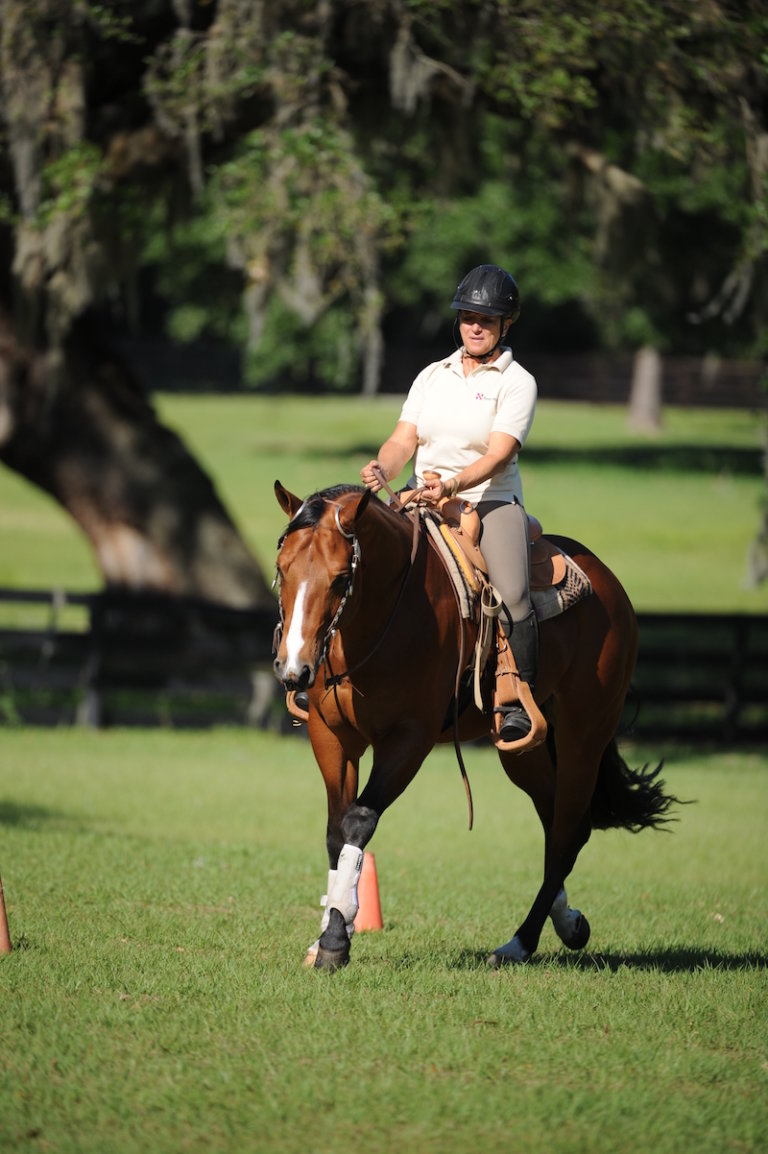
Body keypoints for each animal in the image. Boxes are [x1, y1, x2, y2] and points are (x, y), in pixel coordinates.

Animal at [270, 480, 678, 973]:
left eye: (339, 579)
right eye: (281, 570)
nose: (294, 670)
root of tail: (609, 583)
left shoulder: (409, 739)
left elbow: (358, 821)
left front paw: (335, 939)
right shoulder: (331, 737)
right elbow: (335, 831)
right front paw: (329, 931)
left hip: (584, 736)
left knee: (568, 832)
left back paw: (520, 943)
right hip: (524, 748)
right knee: (556, 822)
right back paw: (569, 923)